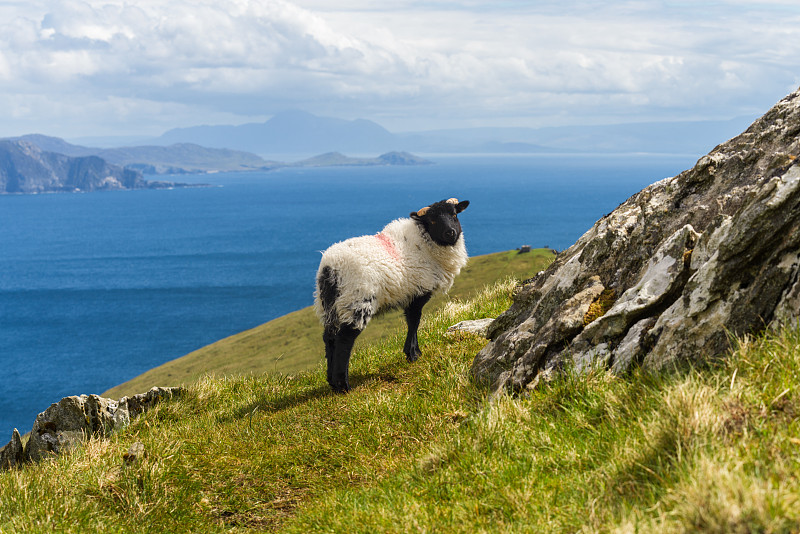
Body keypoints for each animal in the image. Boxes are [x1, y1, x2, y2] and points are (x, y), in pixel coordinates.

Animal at [316, 197, 472, 394]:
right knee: (344, 340)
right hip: (356, 301)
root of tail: (330, 268)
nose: (450, 232)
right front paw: (412, 354)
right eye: (432, 221)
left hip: (330, 306)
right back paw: (343, 385)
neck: (425, 243)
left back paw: (331, 382)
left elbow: (412, 322)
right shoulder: (418, 291)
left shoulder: (411, 293)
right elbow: (414, 321)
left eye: (454, 215)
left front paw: (415, 352)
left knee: (329, 338)